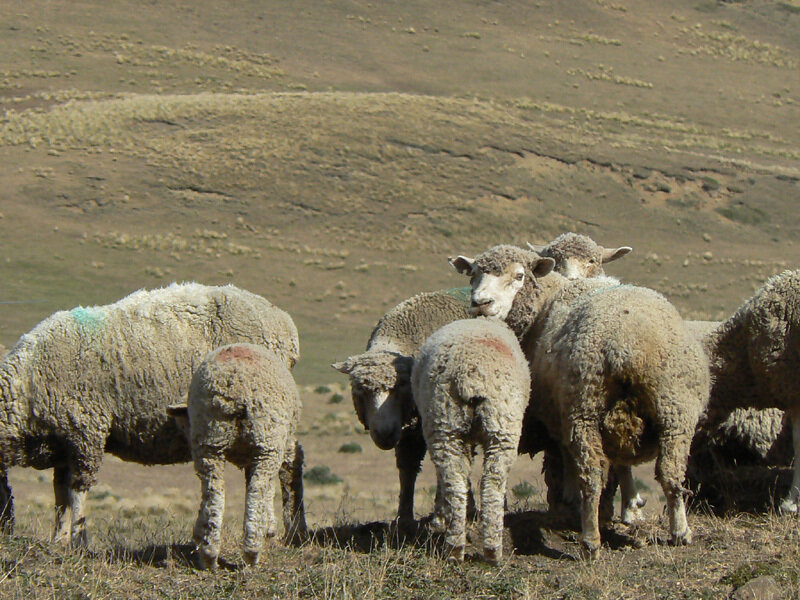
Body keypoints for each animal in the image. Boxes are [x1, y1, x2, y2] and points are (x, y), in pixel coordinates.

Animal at [0, 283, 299, 545]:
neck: (25, 386)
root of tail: (284, 322)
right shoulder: (62, 442)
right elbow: (60, 496)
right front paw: (58, 539)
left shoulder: (85, 432)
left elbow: (77, 490)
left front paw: (78, 540)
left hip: (270, 411)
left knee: (286, 465)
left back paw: (287, 531)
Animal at [167, 343, 306, 569]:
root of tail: (235, 388)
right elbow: (271, 487)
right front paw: (270, 531)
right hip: (266, 440)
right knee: (257, 491)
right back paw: (252, 552)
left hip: (209, 442)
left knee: (213, 493)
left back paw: (208, 553)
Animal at [332, 288, 471, 525]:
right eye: (360, 389)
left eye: (401, 386)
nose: (384, 433)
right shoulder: (409, 429)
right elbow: (408, 468)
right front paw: (404, 518)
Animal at [412, 317, 530, 564]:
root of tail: (471, 374)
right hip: (500, 426)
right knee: (491, 482)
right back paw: (490, 550)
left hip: (446, 424)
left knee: (454, 480)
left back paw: (456, 546)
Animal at [451, 245, 709, 557]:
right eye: (473, 275)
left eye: (519, 276)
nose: (480, 303)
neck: (548, 300)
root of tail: (627, 345)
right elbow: (621, 461)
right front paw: (631, 505)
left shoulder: (557, 411)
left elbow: (566, 452)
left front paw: (572, 494)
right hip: (675, 409)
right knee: (671, 473)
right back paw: (680, 531)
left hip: (584, 406)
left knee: (593, 475)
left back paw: (590, 539)